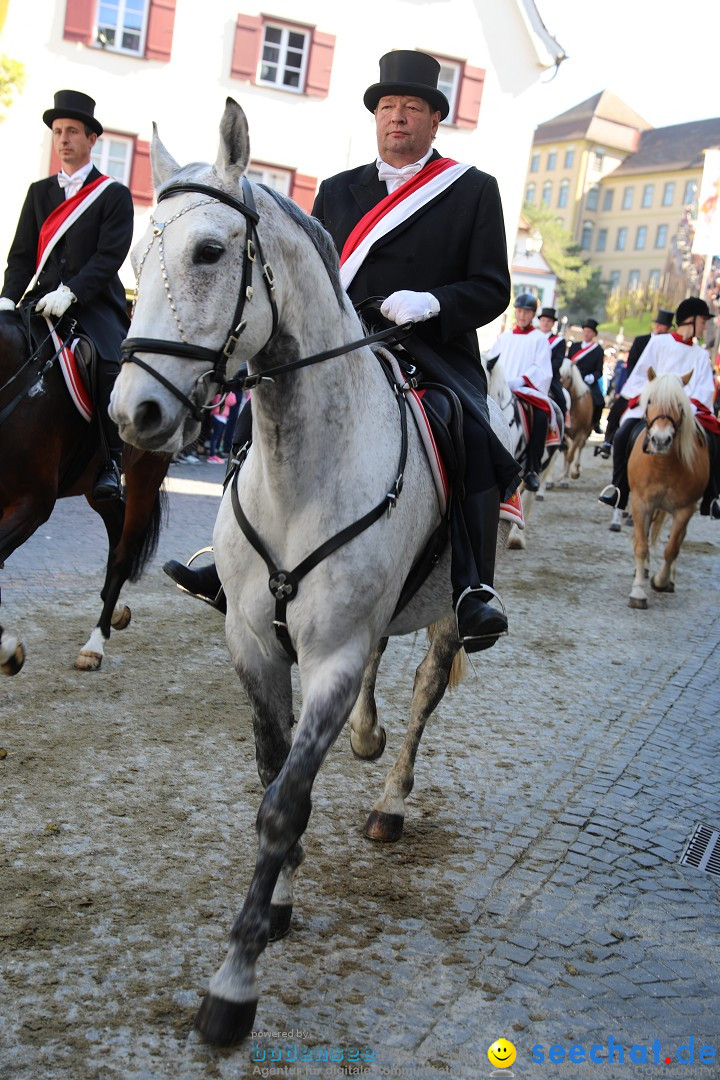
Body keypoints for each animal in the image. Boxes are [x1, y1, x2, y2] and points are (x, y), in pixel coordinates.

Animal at [0, 308, 170, 669]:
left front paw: (7, 649)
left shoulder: (32, 506)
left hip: (148, 470)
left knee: (123, 551)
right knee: (117, 526)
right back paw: (114, 608)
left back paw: (95, 643)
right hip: (95, 487)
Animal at [110, 103, 515, 1045]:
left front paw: (235, 981)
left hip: (449, 617)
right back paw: (365, 739)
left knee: (422, 694)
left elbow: (286, 799)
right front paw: (281, 895)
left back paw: (391, 799)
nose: (131, 413)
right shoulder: (255, 644)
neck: (304, 466)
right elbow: (271, 779)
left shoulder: (328, 656)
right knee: (378, 684)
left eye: (210, 252)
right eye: (138, 256)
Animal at [626, 369, 708, 609]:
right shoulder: (641, 503)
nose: (660, 440)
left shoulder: (685, 509)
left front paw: (660, 581)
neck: (664, 465)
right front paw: (638, 592)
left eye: (680, 405)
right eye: (650, 400)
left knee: (675, 539)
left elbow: (672, 548)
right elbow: (641, 545)